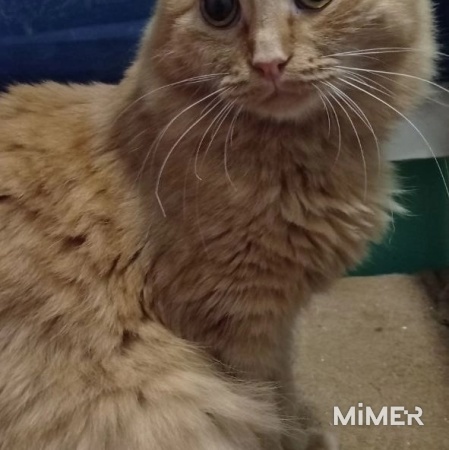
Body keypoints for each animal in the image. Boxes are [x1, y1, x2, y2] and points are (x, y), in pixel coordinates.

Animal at [0, 0, 436, 449]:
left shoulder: (276, 323)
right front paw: (297, 438)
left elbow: (284, 389)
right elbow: (271, 405)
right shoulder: (238, 325)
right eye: (219, 10)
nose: (269, 63)